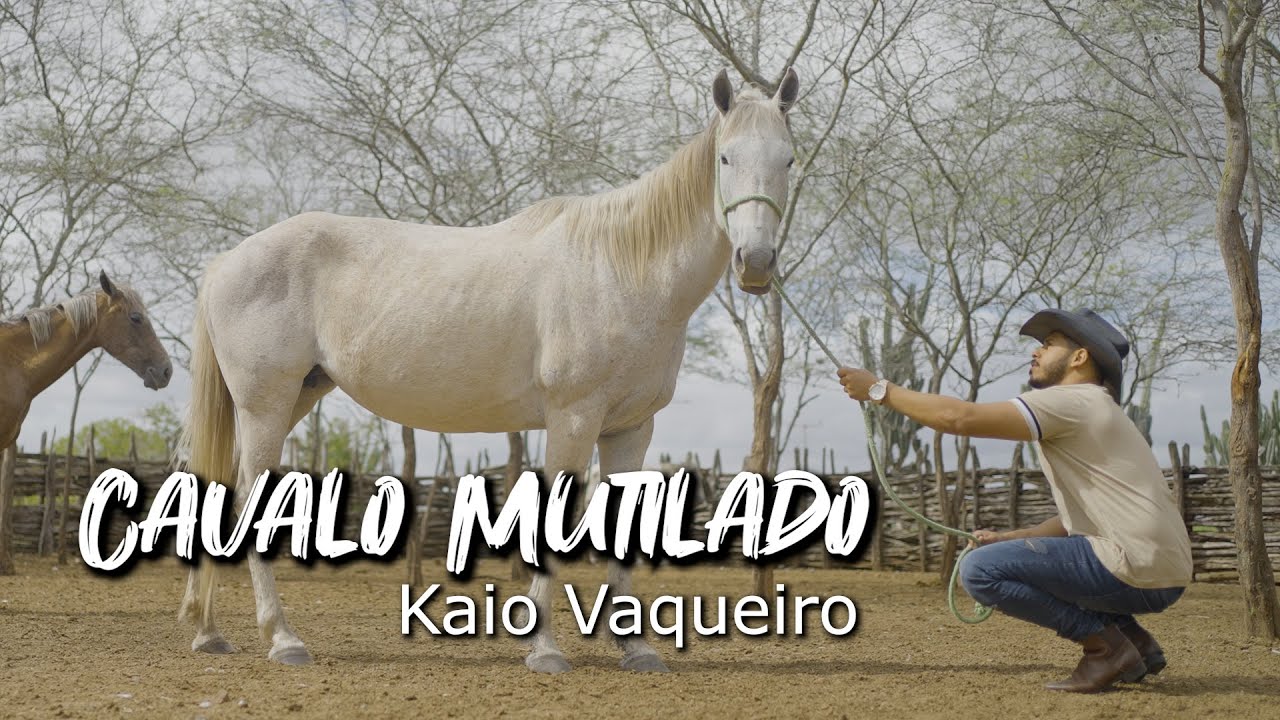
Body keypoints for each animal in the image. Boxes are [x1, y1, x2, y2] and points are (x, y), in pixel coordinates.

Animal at [179, 68, 800, 672]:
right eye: (726, 158)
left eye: (788, 159)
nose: (755, 263)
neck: (620, 270)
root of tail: (228, 261)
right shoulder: (574, 418)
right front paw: (545, 649)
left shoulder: (630, 429)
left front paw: (637, 649)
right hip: (266, 403)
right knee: (249, 497)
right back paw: (282, 639)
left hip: (295, 398)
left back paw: (210, 631)